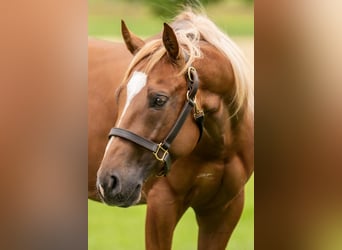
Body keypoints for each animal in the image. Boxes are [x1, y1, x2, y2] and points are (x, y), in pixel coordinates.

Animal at [89, 9, 254, 250]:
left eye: (159, 99)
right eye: (119, 96)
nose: (108, 181)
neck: (219, 149)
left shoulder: (224, 210)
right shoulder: (162, 205)